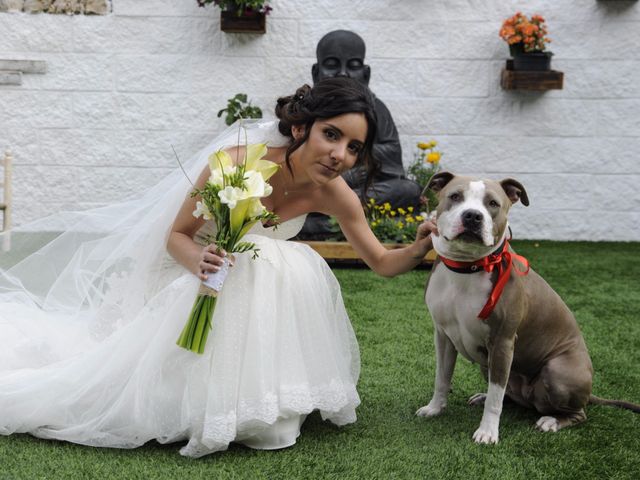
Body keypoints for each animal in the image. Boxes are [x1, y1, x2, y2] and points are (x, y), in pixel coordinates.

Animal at [418, 172, 636, 442]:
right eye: (455, 196)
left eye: (493, 203)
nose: (472, 216)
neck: (468, 267)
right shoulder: (443, 336)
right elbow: (442, 377)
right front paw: (435, 408)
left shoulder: (502, 342)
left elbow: (495, 399)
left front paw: (487, 432)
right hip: (488, 364)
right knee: (507, 395)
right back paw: (483, 396)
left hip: (557, 370)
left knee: (576, 413)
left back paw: (552, 421)